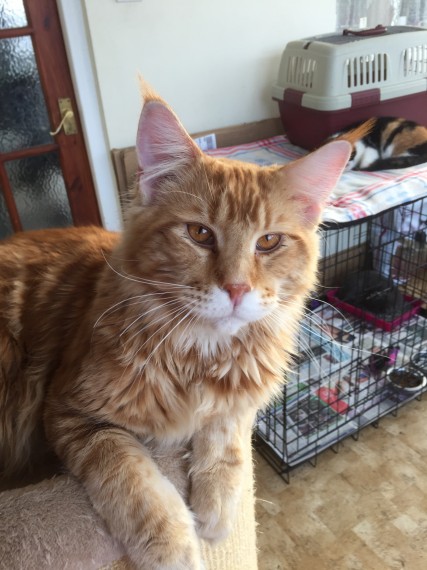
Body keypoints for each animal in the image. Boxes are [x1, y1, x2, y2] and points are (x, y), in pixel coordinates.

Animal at [0, 86, 350, 569]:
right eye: (200, 234)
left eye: (268, 242)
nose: (237, 288)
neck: (200, 357)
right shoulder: (70, 411)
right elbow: (130, 477)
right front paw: (175, 547)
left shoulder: (244, 396)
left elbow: (227, 436)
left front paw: (217, 508)